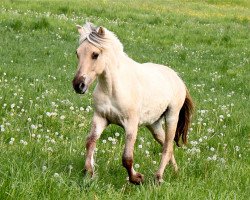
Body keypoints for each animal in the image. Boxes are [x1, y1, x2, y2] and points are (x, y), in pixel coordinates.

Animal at [72, 22, 193, 184]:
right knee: (167, 145)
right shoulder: (100, 118)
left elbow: (127, 158)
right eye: (77, 53)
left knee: (167, 147)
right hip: (154, 124)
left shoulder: (131, 124)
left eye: (95, 54)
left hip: (172, 117)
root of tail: (177, 78)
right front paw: (90, 173)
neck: (112, 89)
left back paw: (158, 178)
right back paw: (176, 172)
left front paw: (137, 178)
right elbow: (90, 142)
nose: (78, 85)